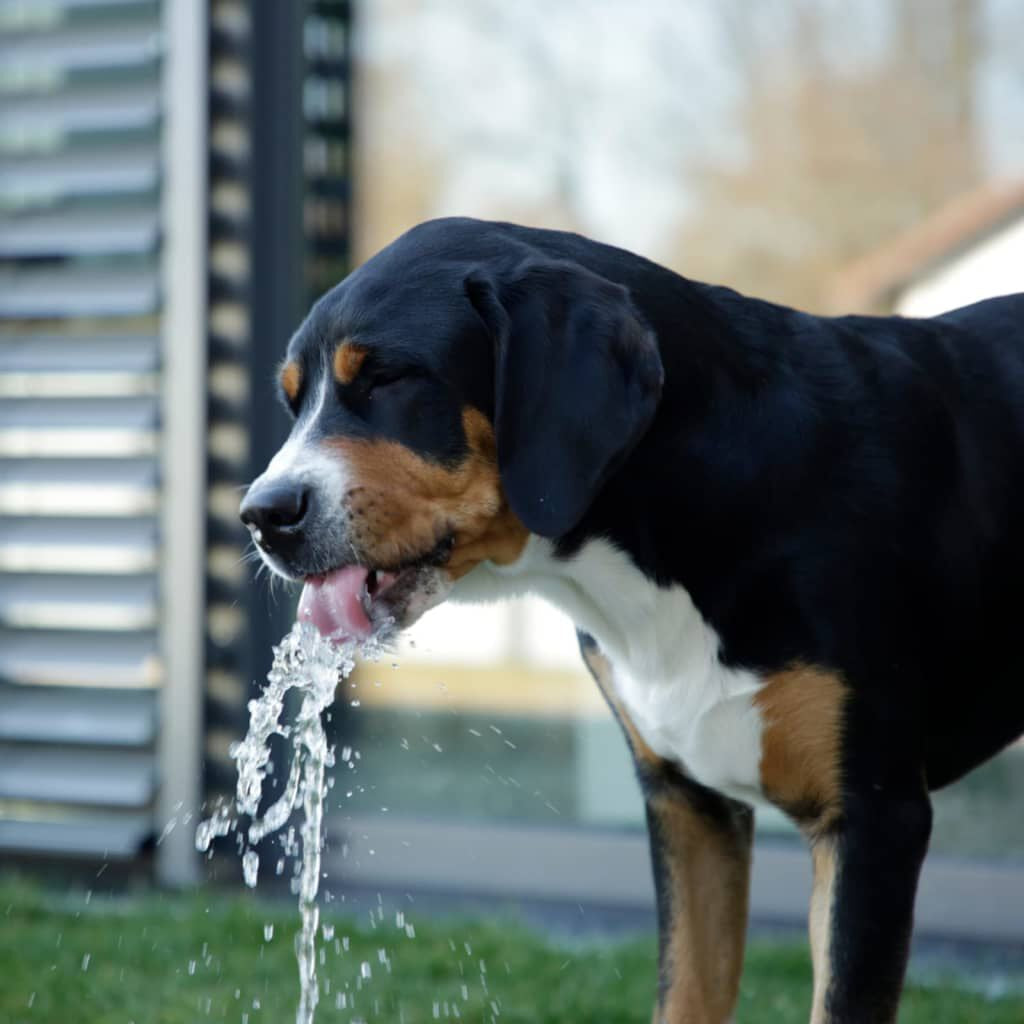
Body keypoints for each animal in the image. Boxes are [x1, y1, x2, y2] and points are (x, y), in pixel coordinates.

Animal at [241, 218, 1024, 1024]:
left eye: (389, 379)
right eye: (293, 401)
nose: (263, 514)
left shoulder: (871, 820)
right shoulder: (689, 807)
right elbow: (686, 992)